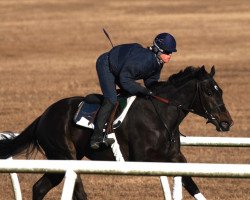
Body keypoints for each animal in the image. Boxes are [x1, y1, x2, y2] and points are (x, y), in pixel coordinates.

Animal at [0, 66, 233, 200]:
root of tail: (43, 116)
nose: (226, 122)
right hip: (63, 156)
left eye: (221, 90)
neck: (160, 113)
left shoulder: (176, 157)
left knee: (40, 188)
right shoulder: (143, 159)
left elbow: (191, 184)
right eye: (209, 92)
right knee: (76, 191)